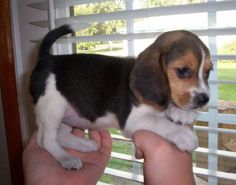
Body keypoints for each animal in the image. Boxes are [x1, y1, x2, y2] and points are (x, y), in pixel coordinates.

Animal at [29, 24, 212, 171]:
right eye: (182, 70)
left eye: (208, 71)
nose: (204, 99)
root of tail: (46, 58)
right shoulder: (133, 121)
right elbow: (162, 124)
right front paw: (185, 136)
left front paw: (183, 113)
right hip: (52, 108)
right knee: (45, 140)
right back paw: (67, 158)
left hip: (67, 113)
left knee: (60, 136)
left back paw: (84, 145)